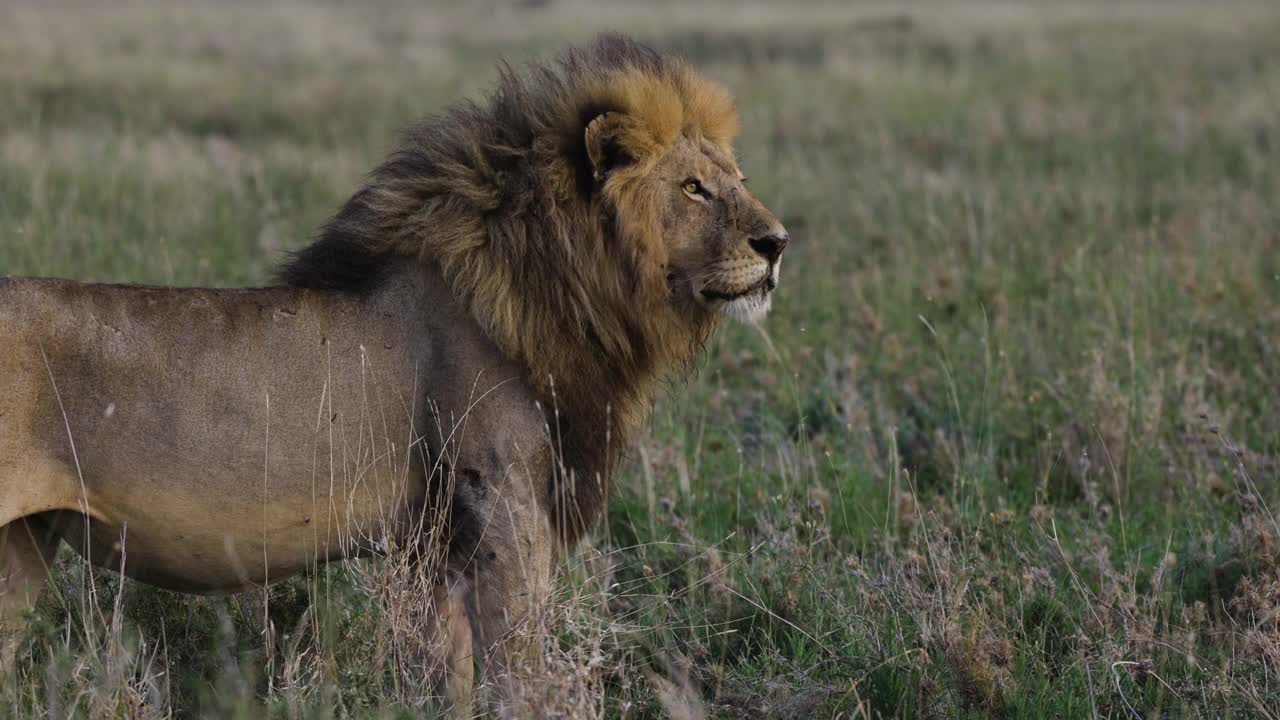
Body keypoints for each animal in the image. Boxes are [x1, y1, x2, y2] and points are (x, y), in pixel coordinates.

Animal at [0, 33, 783, 712]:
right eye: (694, 188)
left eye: (738, 180)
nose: (777, 242)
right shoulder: (502, 508)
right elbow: (519, 672)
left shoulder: (431, 542)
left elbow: (447, 674)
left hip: (23, 550)